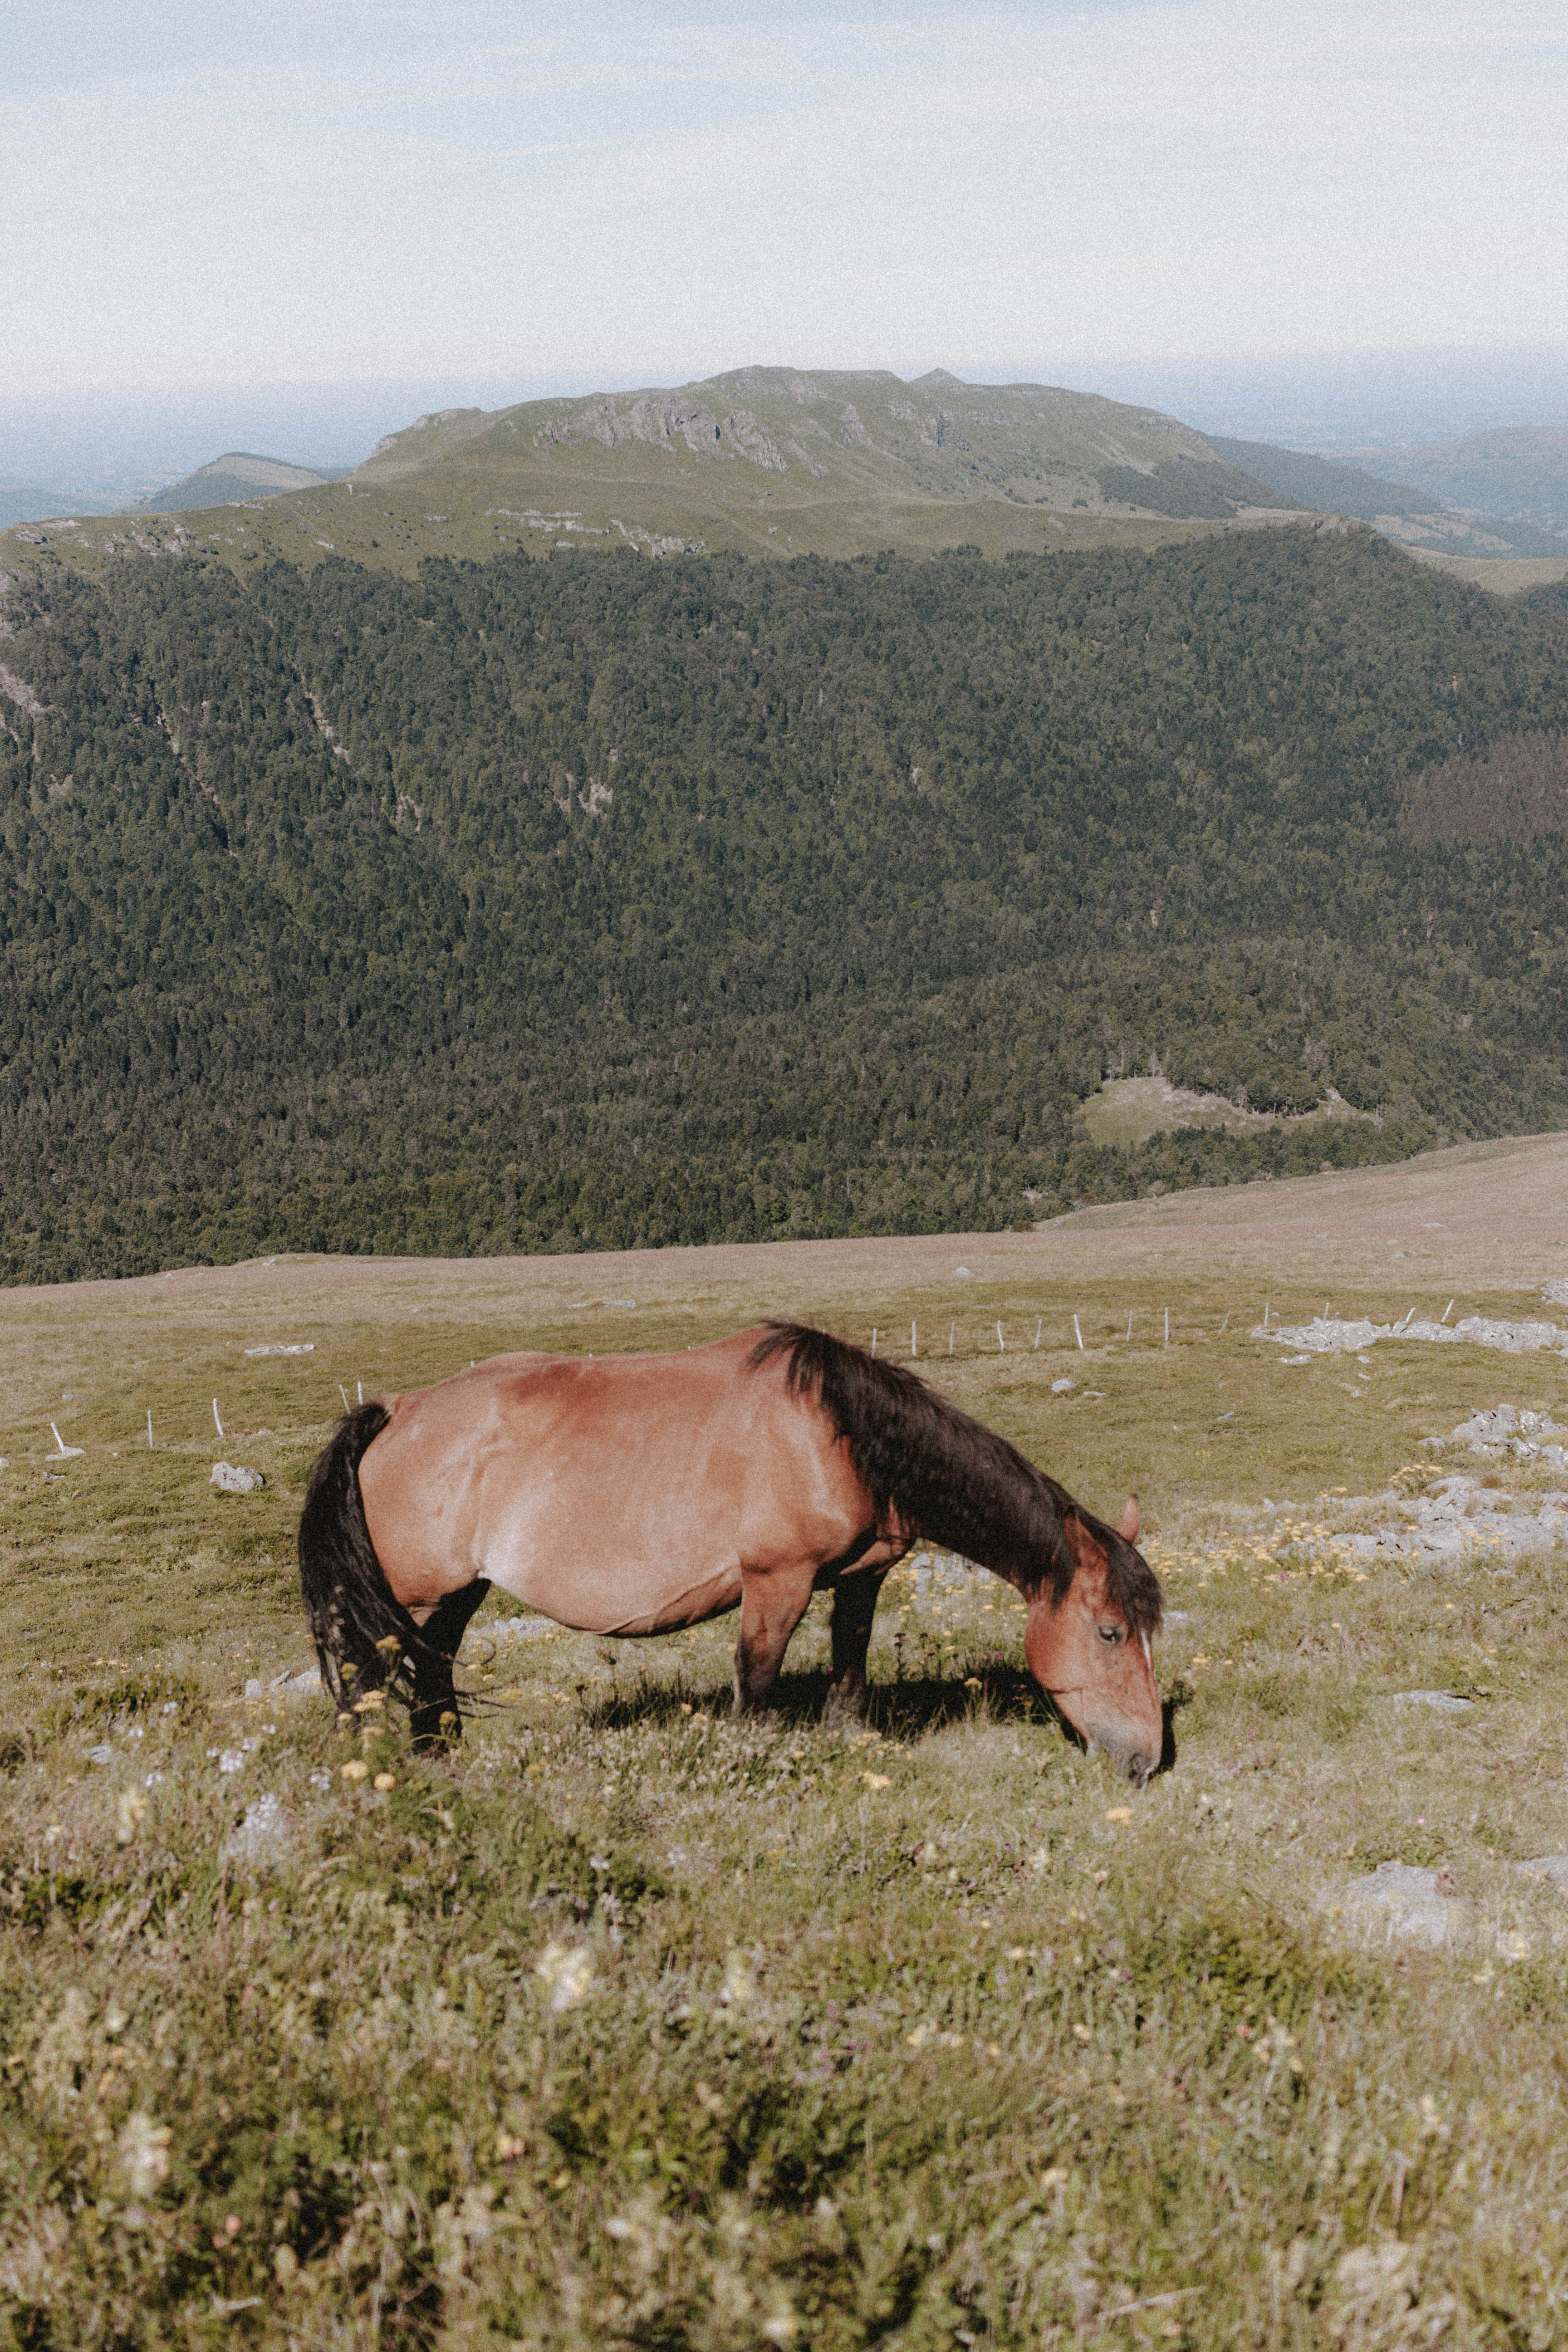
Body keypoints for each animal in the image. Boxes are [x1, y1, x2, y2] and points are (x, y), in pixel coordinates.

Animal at [303, 1326, 1166, 1778]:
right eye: (1110, 1632)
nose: (1146, 1760)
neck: (840, 1435)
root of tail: (396, 1409)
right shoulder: (776, 1580)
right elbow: (757, 1678)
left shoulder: (861, 1577)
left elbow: (850, 1664)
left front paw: (846, 1738)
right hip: (416, 1598)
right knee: (375, 1678)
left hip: (456, 1596)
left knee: (433, 1669)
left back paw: (441, 1757)